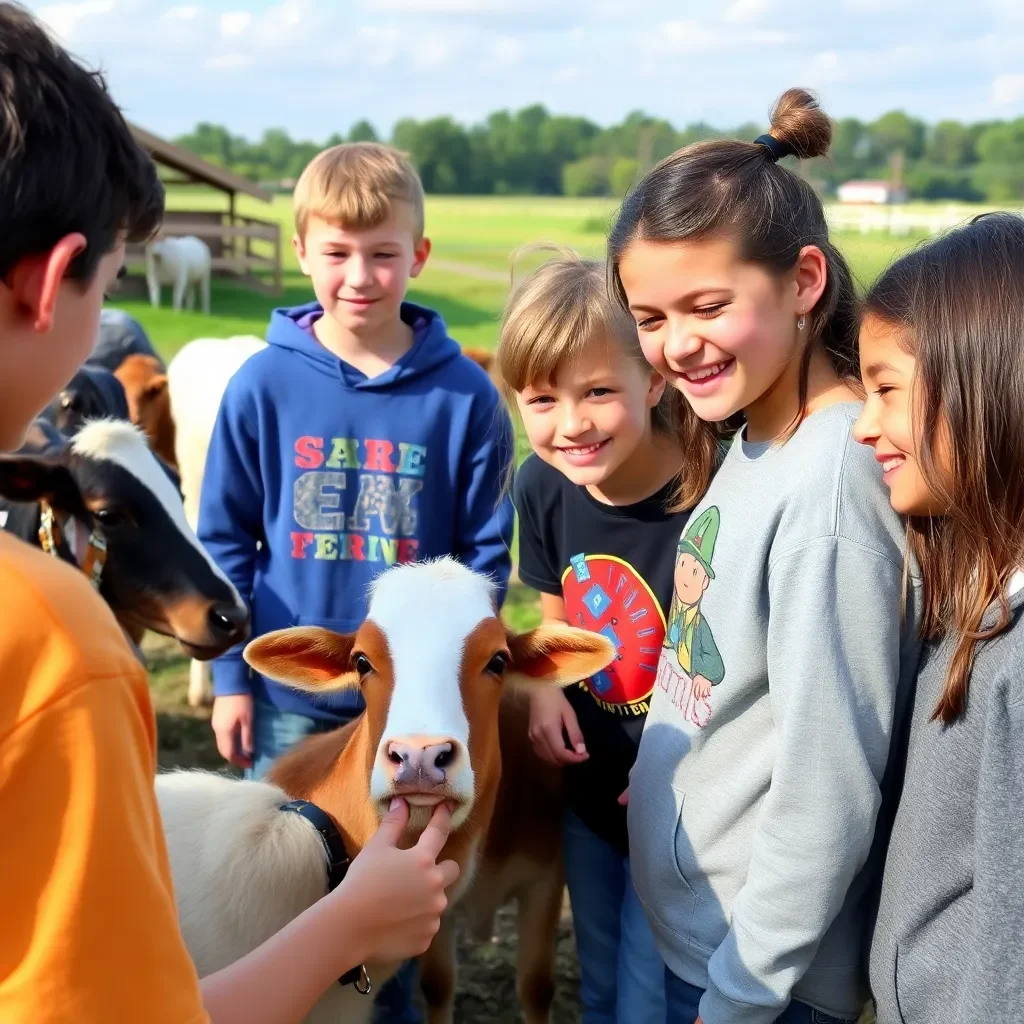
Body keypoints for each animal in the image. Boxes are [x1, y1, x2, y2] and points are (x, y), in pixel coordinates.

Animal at [155, 561, 610, 1024]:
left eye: (498, 660)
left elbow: (535, 986)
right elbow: (438, 983)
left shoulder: (545, 881)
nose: (420, 756)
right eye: (362, 661)